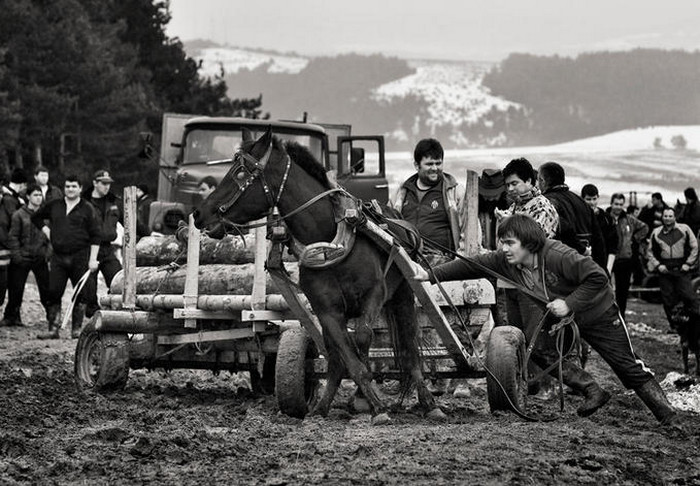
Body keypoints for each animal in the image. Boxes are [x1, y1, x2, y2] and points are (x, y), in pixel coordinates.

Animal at [191, 127, 442, 424]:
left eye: (240, 173)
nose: (199, 213)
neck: (327, 242)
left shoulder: (374, 295)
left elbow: (363, 339)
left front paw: (375, 404)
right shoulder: (326, 310)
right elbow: (345, 357)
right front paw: (368, 404)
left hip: (403, 296)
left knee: (409, 349)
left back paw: (429, 403)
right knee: (337, 357)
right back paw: (325, 406)